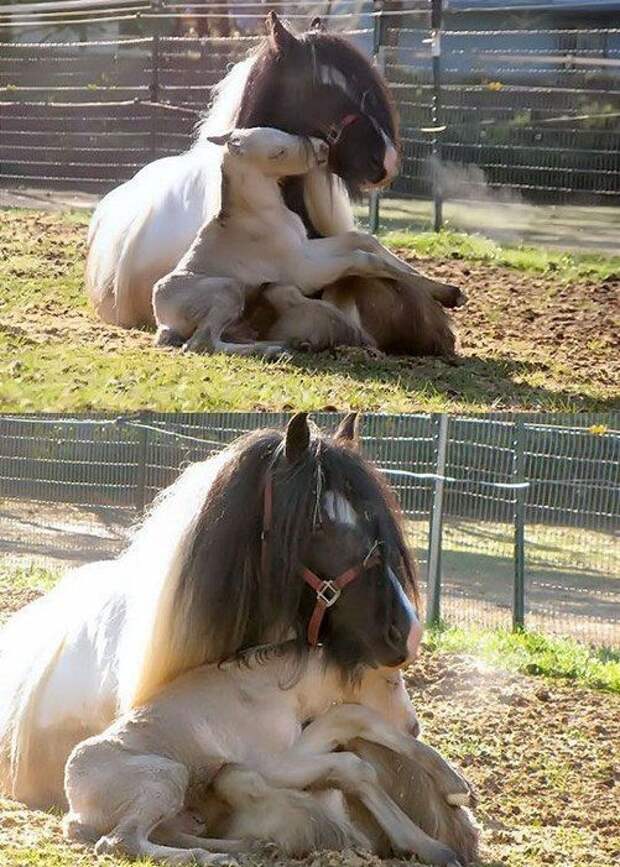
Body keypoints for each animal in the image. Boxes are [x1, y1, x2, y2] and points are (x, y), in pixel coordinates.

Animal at [64, 640, 474, 864]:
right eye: (390, 681)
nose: (414, 726)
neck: (272, 690)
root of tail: (75, 811)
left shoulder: (294, 746)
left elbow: (351, 717)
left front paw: (455, 785)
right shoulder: (268, 765)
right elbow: (352, 762)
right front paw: (432, 847)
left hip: (180, 808)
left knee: (166, 833)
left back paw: (249, 848)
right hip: (167, 776)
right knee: (119, 841)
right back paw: (213, 858)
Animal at [151, 126, 450, 356]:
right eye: (278, 151)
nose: (323, 148)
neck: (261, 214)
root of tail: (163, 320)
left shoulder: (306, 247)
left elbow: (362, 239)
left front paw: (443, 290)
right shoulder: (303, 269)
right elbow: (363, 258)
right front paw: (448, 294)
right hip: (229, 289)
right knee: (201, 344)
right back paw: (276, 348)